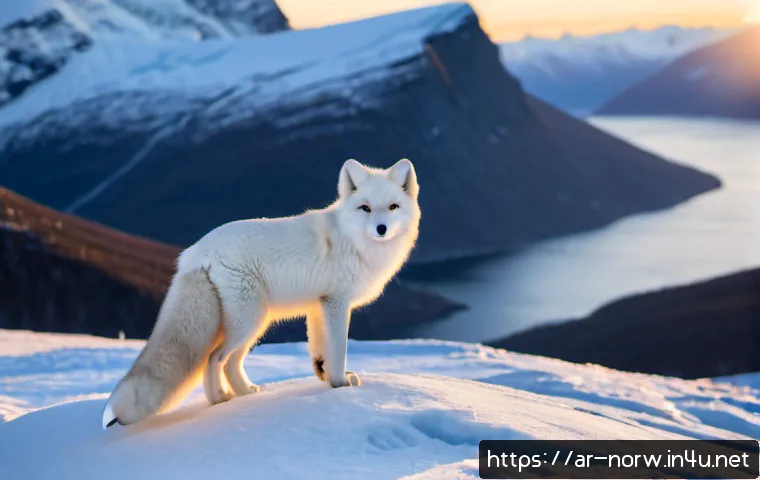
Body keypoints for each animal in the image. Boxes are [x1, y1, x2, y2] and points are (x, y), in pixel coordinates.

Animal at [102, 158, 421, 429]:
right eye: (365, 208)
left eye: (393, 207)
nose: (381, 229)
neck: (353, 242)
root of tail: (195, 253)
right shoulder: (336, 303)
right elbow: (338, 348)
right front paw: (340, 385)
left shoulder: (319, 306)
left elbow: (320, 351)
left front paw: (325, 378)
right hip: (249, 320)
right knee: (215, 358)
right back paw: (221, 400)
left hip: (254, 322)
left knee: (229, 363)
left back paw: (246, 393)